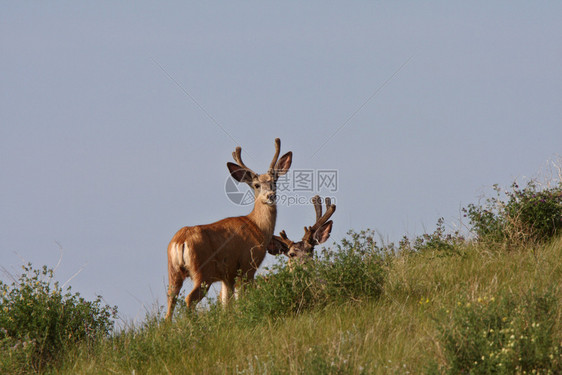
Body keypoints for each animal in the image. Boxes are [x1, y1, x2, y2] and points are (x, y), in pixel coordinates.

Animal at [164, 140, 290, 322]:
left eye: (275, 181)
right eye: (257, 185)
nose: (271, 196)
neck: (257, 227)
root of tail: (181, 241)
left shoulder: (227, 275)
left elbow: (226, 303)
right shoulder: (248, 264)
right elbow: (242, 298)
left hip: (173, 270)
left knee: (170, 299)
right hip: (203, 270)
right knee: (189, 299)